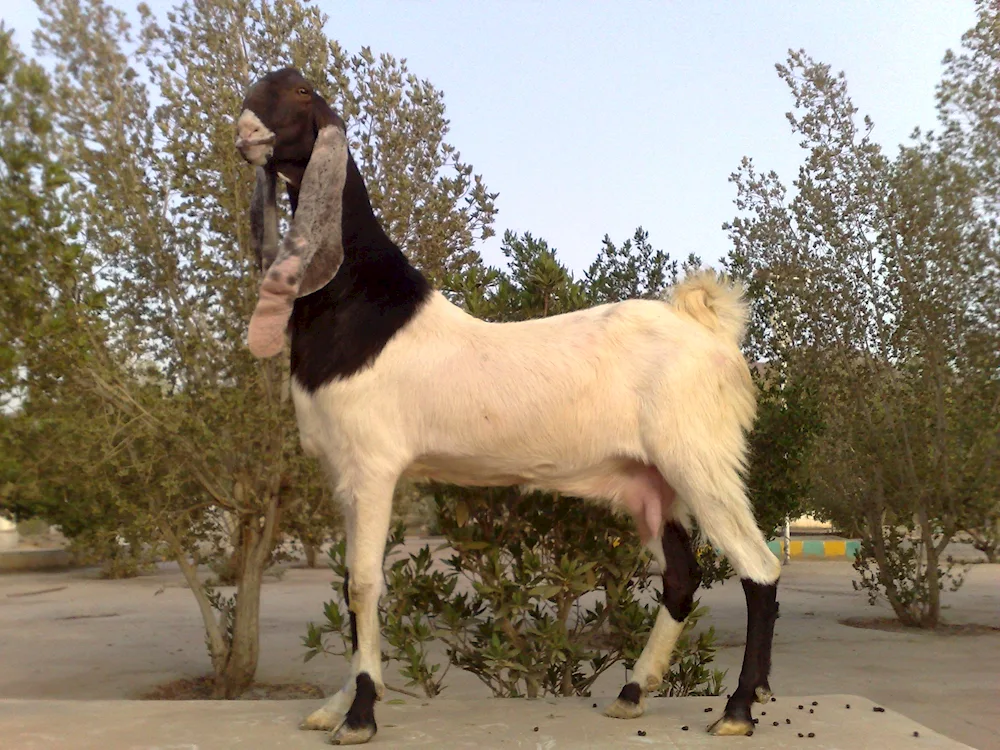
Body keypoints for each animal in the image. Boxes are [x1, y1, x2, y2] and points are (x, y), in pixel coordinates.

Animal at [234, 69, 780, 748]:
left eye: (301, 93)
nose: (245, 134)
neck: (358, 300)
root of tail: (709, 327)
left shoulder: (374, 466)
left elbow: (363, 584)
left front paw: (359, 714)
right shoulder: (343, 476)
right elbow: (347, 583)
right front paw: (335, 706)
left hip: (699, 458)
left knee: (759, 567)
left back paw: (738, 709)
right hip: (653, 482)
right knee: (682, 577)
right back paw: (631, 694)